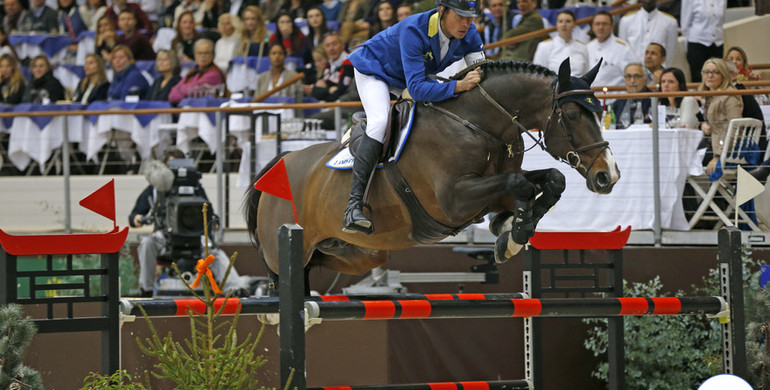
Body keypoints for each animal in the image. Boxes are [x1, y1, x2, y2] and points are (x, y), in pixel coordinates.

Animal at [244, 57, 616, 278]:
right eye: (572, 115)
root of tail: (275, 168)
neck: (478, 124)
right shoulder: (454, 200)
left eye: (600, 111)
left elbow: (551, 180)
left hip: (361, 253)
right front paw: (514, 229)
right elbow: (518, 183)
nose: (608, 176)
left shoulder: (490, 188)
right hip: (284, 254)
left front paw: (509, 229)